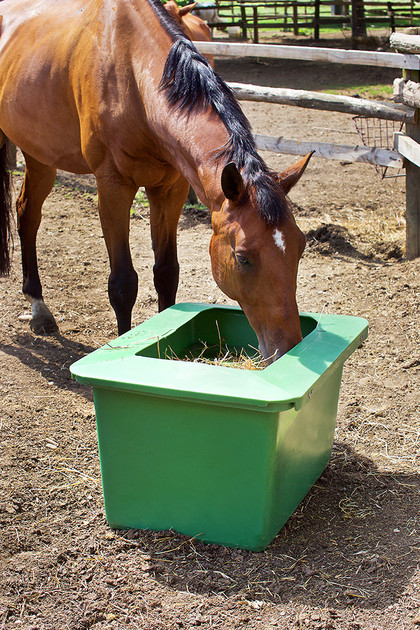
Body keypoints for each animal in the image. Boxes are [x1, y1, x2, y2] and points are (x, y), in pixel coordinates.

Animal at [0, 0, 312, 362]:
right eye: (243, 258)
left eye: (300, 247)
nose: (288, 346)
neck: (133, 74)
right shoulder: (113, 187)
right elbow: (123, 284)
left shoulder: (170, 188)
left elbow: (166, 273)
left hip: (39, 152)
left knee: (27, 213)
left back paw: (38, 308)